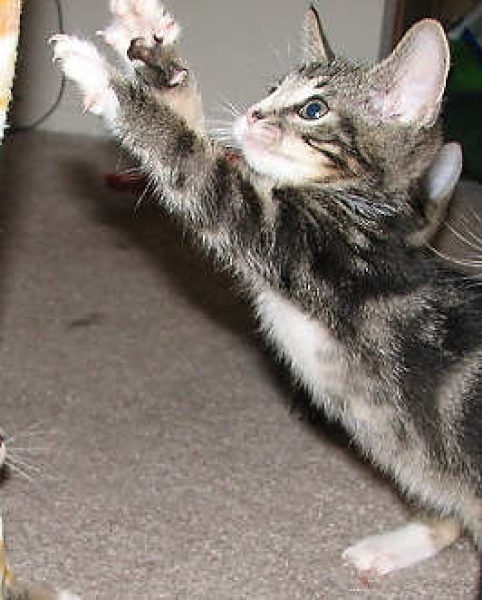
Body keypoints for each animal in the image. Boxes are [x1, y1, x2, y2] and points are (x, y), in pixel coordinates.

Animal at [51, 0, 482, 592]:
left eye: (314, 109)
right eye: (272, 89)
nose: (254, 115)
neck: (361, 208)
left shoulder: (285, 235)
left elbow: (189, 158)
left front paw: (101, 76)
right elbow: (197, 132)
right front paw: (157, 55)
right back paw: (394, 546)